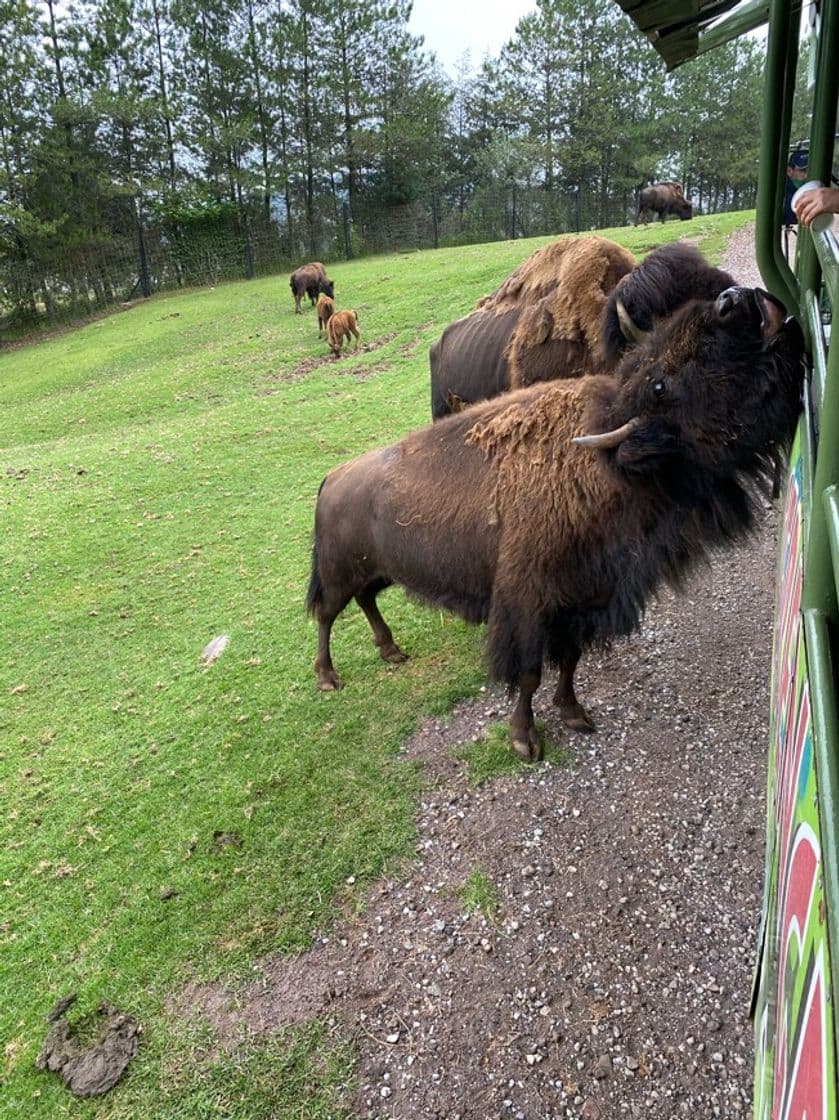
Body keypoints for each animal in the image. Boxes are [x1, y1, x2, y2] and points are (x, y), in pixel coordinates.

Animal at [306, 288, 797, 761]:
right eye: (660, 384)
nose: (736, 299)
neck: (613, 463)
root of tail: (332, 479)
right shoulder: (529, 607)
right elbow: (529, 674)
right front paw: (525, 740)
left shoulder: (582, 600)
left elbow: (569, 661)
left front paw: (574, 713)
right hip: (339, 575)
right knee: (327, 615)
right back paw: (329, 677)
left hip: (379, 572)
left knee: (366, 601)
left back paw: (391, 651)